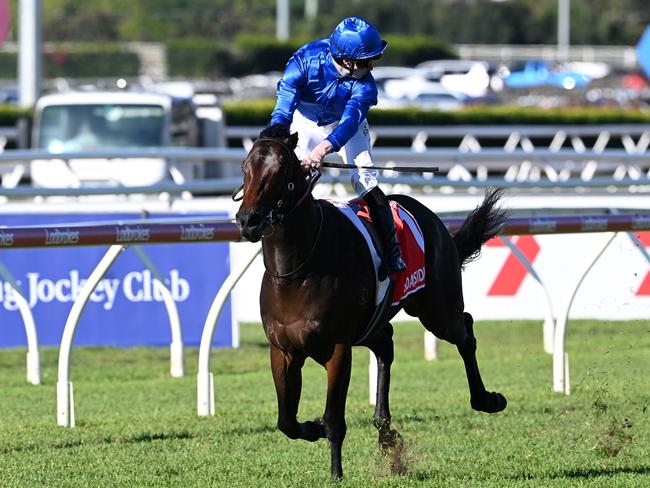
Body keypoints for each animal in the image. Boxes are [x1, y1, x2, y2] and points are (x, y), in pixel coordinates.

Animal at [233, 134, 506, 480]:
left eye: (280, 169)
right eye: (245, 167)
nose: (248, 220)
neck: (295, 271)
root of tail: (432, 218)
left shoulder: (338, 347)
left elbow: (334, 418)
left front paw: (336, 472)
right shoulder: (282, 350)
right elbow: (286, 421)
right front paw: (313, 427)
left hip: (437, 311)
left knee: (465, 330)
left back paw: (487, 399)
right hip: (373, 325)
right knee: (387, 344)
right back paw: (386, 431)